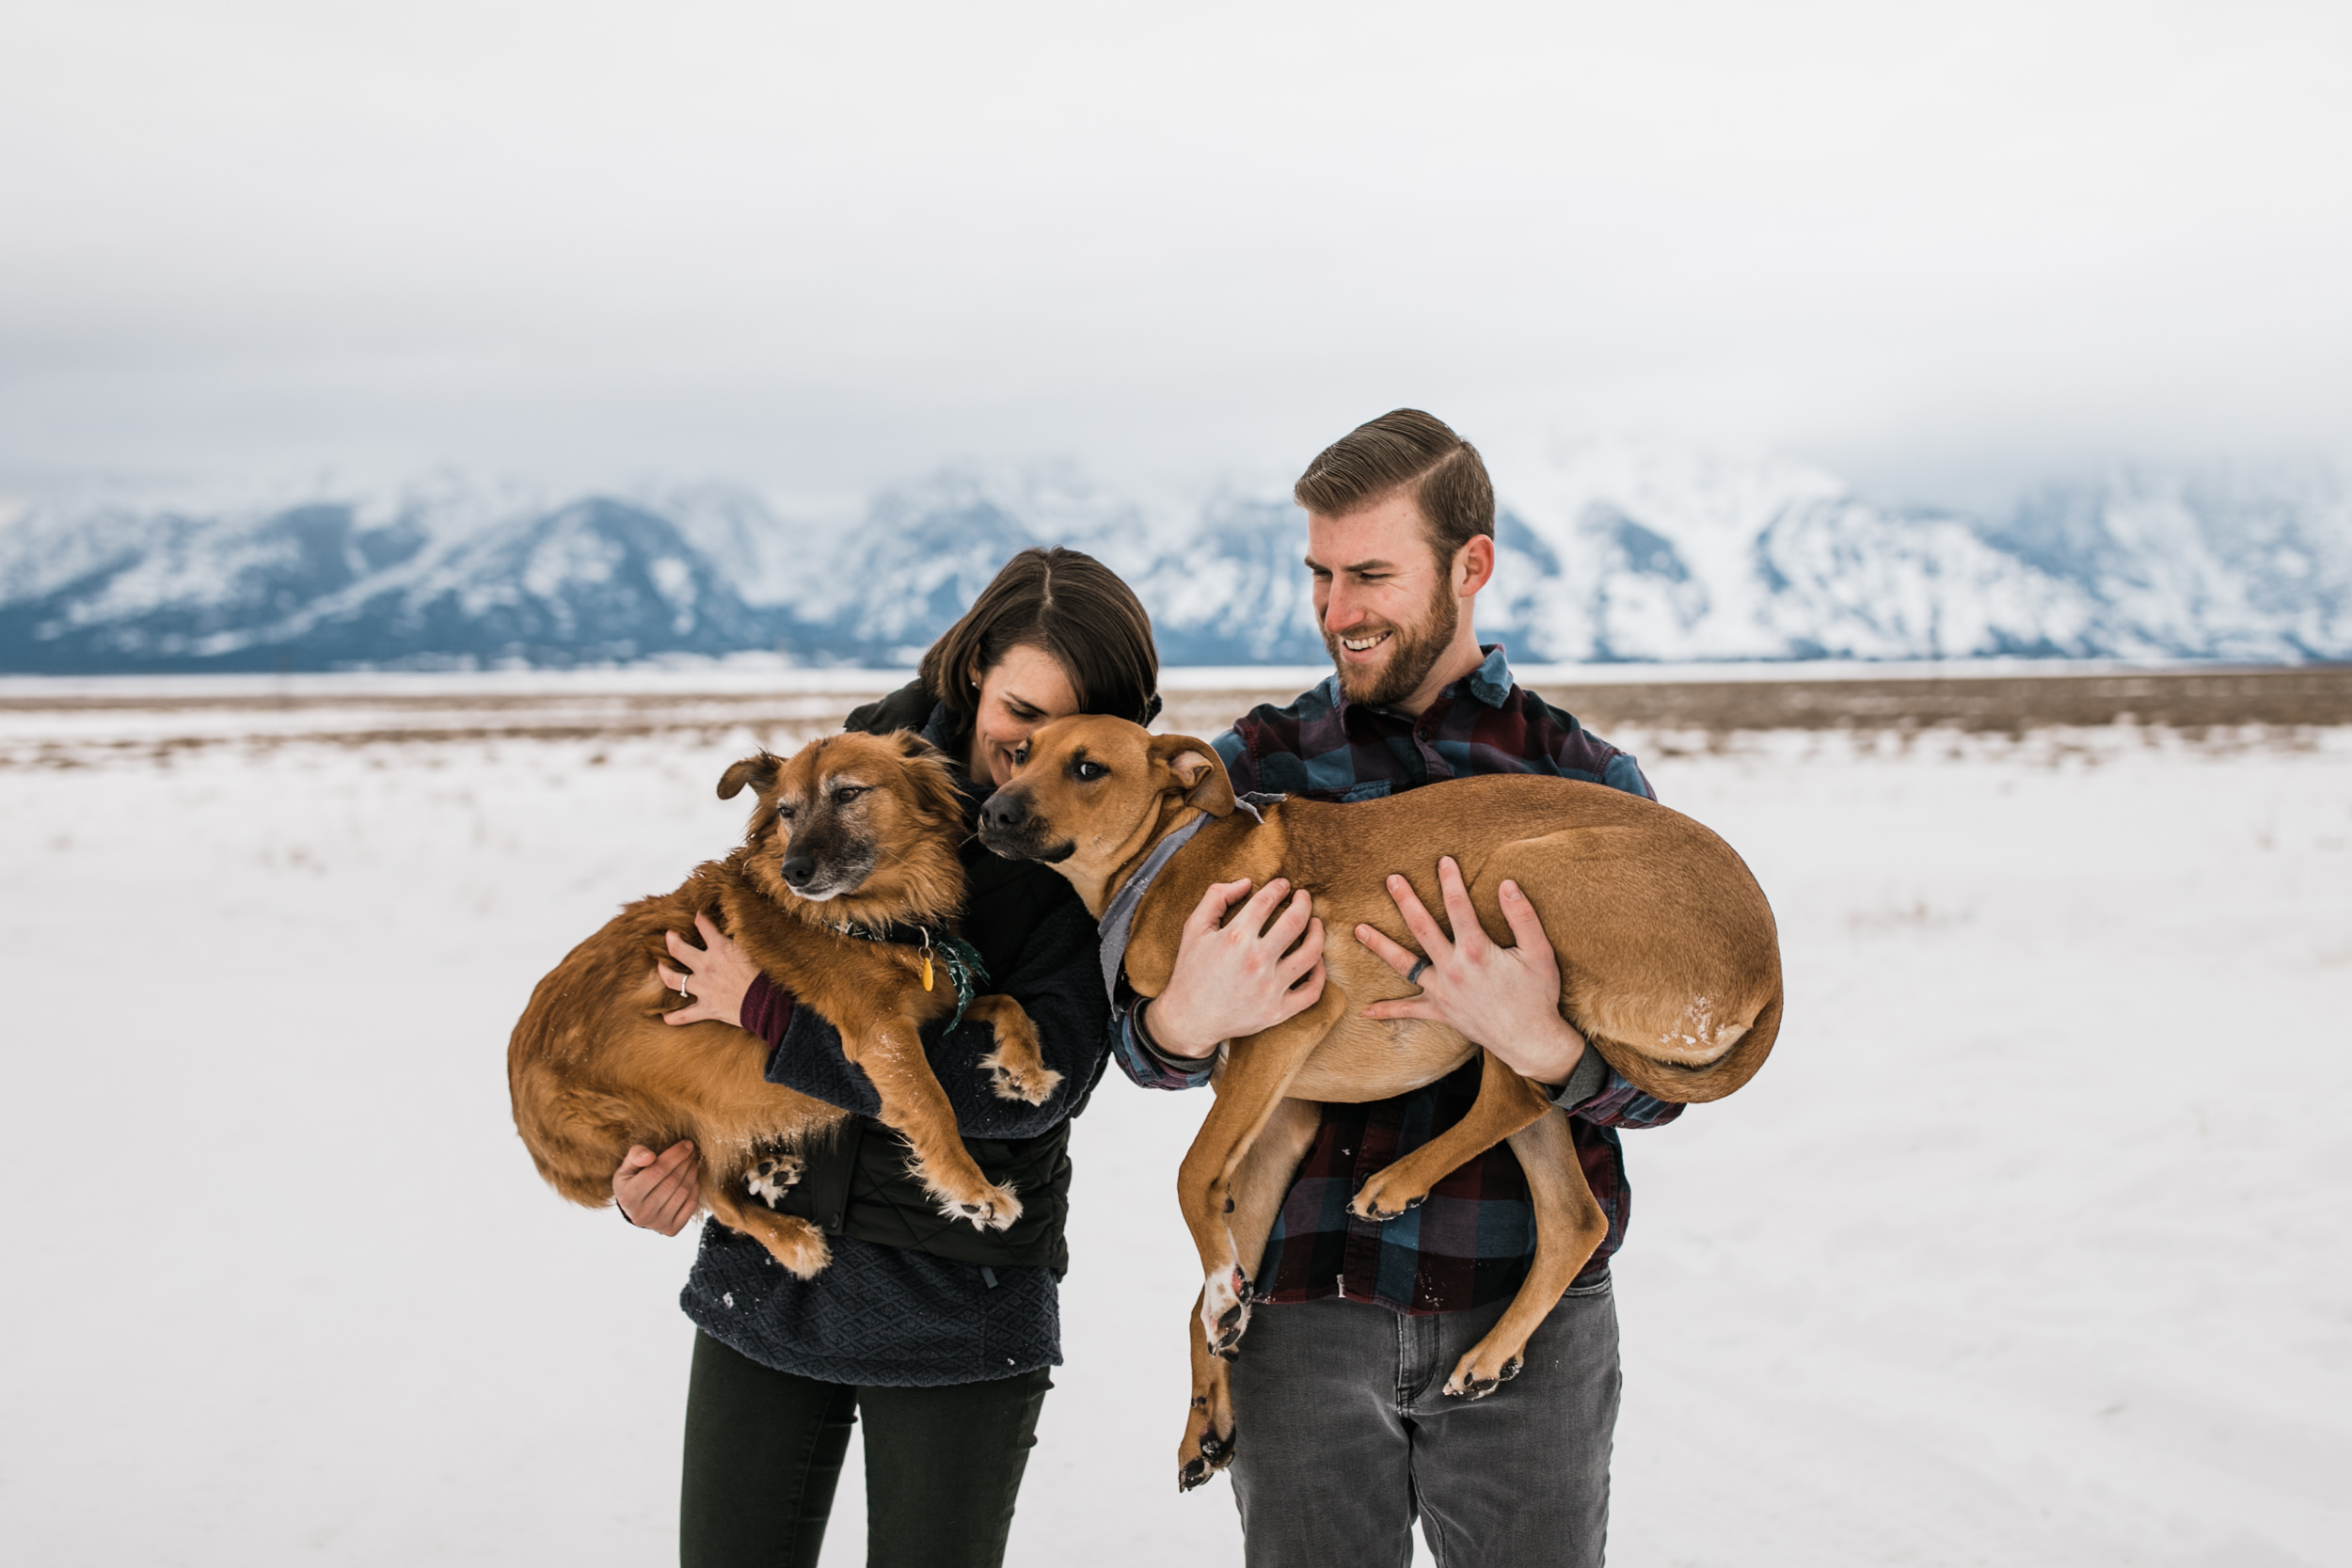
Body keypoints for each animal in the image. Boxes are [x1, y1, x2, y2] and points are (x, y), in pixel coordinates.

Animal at [517, 733, 1077, 1278]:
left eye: (848, 793)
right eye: (786, 811)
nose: (794, 872)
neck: (870, 924)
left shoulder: (935, 1007)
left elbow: (1008, 1002)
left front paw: (1023, 1070)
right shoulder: (881, 1034)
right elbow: (933, 1104)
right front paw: (973, 1192)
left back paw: (768, 1171)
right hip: (660, 1126)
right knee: (712, 1193)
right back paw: (791, 1240)